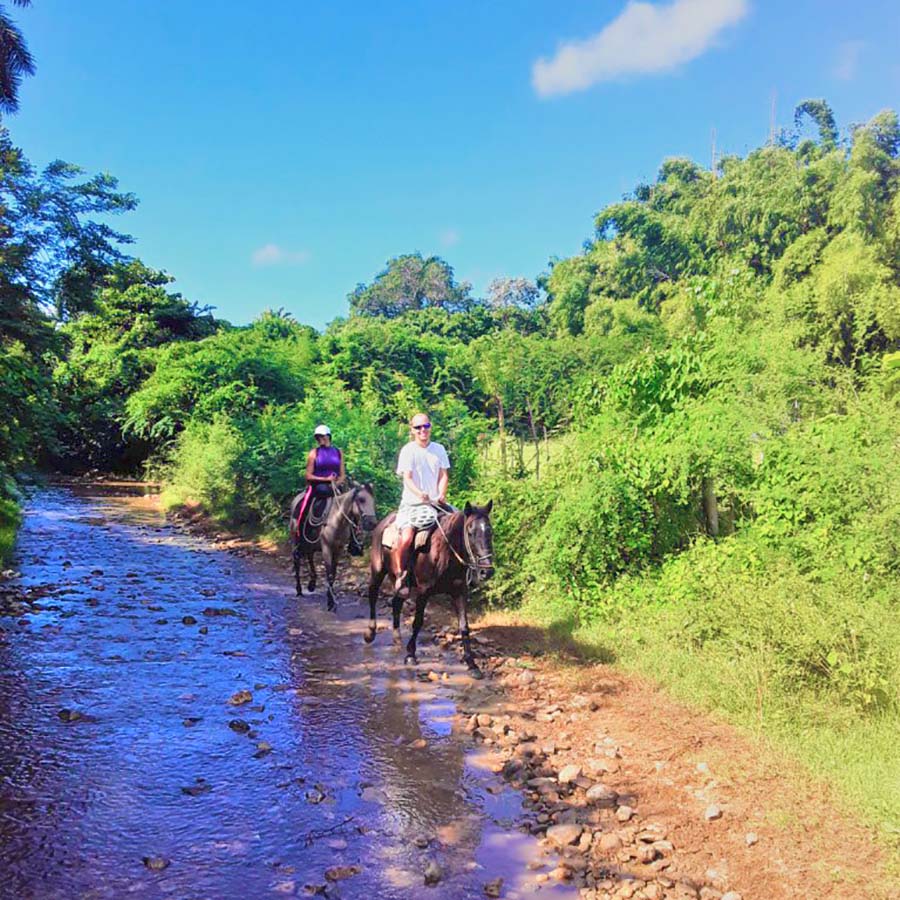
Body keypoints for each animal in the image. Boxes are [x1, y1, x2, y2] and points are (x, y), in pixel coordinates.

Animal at [286, 478, 374, 612]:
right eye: (361, 499)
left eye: (373, 501)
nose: (372, 523)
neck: (336, 520)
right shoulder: (326, 548)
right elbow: (330, 574)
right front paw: (331, 602)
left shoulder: (338, 549)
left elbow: (334, 572)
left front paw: (330, 599)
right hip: (296, 540)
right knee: (297, 561)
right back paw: (299, 590)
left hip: (311, 544)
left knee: (310, 557)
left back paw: (312, 583)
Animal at [362, 500, 496, 684]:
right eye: (470, 532)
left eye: (490, 531)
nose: (486, 572)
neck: (445, 551)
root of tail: (383, 523)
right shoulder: (423, 592)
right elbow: (417, 622)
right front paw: (410, 655)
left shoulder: (460, 592)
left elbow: (464, 627)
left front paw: (472, 665)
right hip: (378, 570)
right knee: (373, 595)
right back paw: (370, 633)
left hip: (401, 585)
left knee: (396, 602)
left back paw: (397, 637)